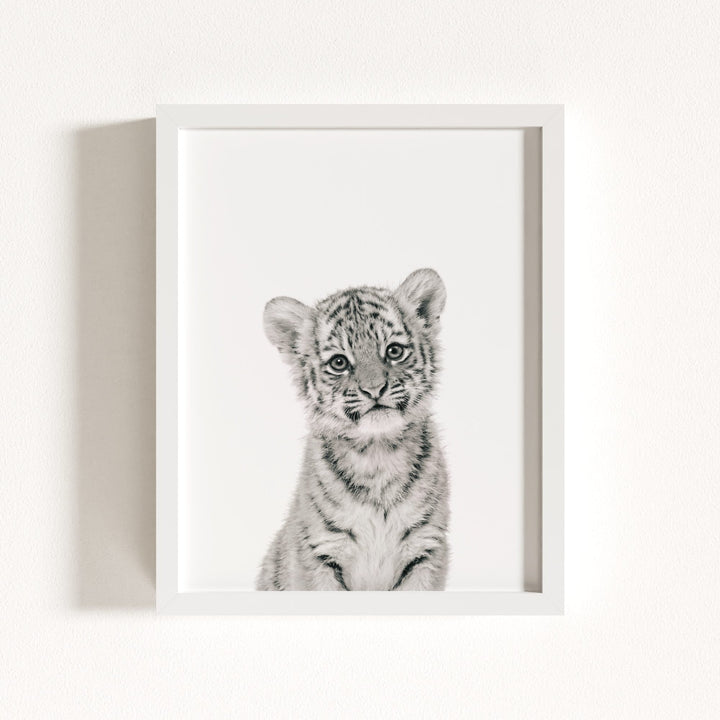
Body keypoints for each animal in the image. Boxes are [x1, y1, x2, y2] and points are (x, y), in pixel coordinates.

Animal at [256, 268, 450, 591]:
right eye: (339, 362)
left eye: (394, 351)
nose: (374, 389)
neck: (378, 454)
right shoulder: (320, 553)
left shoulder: (426, 549)